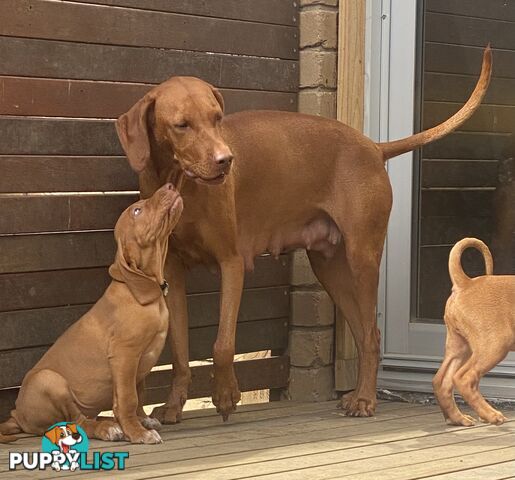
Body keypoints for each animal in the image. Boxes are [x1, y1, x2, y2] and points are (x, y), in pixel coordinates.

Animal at [0, 183, 184, 442]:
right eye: (137, 210)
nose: (169, 185)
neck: (141, 291)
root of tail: (17, 416)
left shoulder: (139, 364)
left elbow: (138, 393)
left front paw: (140, 420)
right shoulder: (124, 355)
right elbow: (127, 398)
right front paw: (138, 432)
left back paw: (110, 422)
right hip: (49, 380)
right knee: (77, 422)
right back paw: (107, 428)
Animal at [115, 45, 494, 420]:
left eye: (217, 118)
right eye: (181, 125)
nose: (226, 160)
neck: (180, 182)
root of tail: (373, 147)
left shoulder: (232, 263)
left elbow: (222, 343)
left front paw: (225, 395)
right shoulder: (172, 273)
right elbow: (179, 351)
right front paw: (174, 405)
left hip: (361, 259)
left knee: (372, 334)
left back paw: (365, 399)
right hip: (330, 269)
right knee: (362, 333)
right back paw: (358, 394)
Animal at [436, 238, 515, 426]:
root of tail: (466, 283)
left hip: (459, 346)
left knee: (442, 380)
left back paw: (458, 418)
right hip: (495, 345)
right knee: (464, 378)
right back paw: (491, 415)